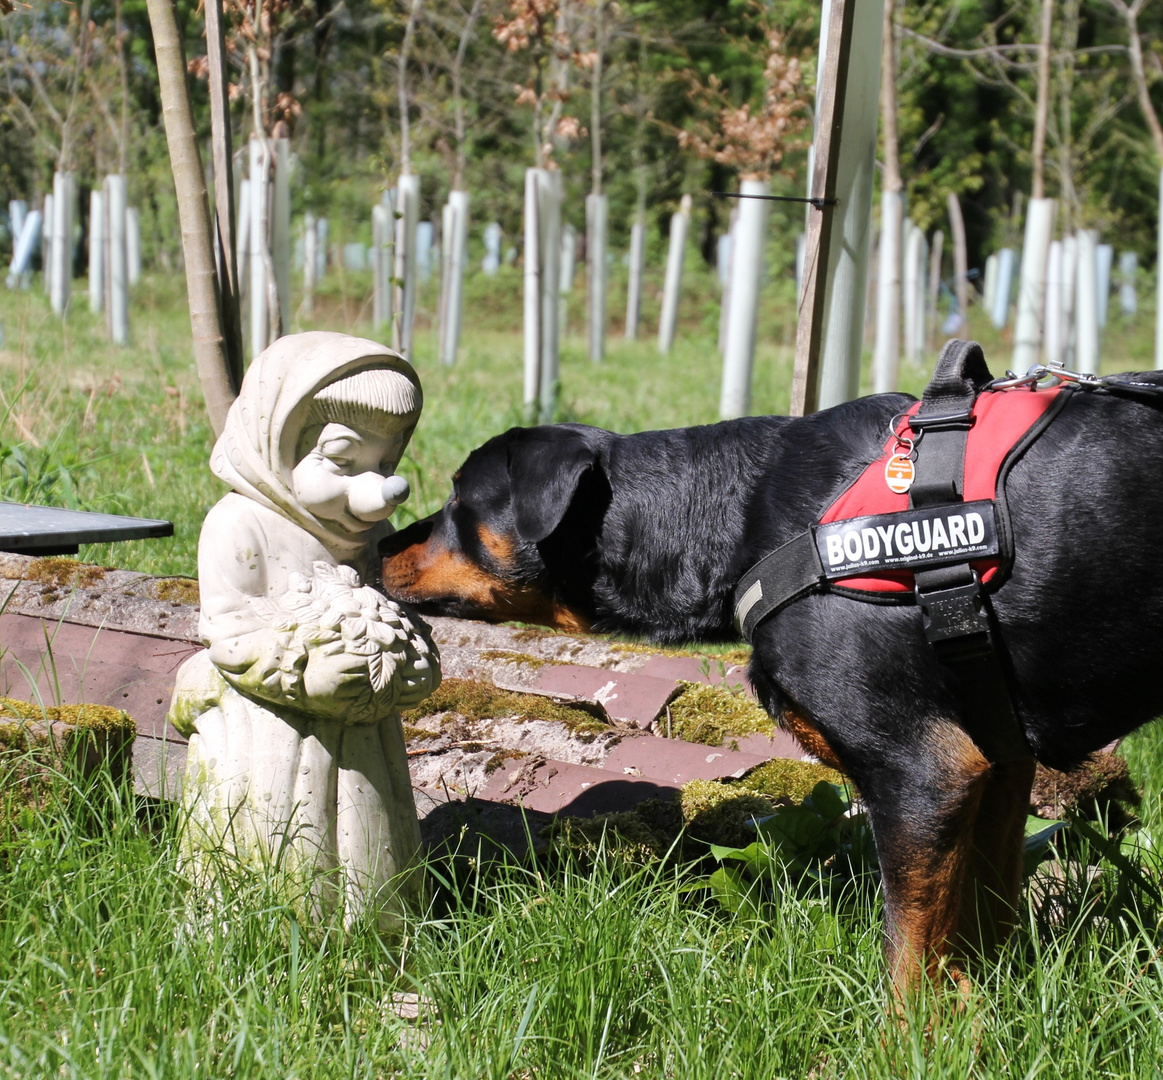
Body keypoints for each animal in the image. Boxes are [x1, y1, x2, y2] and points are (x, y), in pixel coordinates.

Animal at [379, 348, 1163, 990]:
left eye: (458, 498)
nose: (383, 542)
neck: (727, 520)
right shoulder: (999, 759)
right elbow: (980, 925)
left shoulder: (924, 772)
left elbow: (909, 962)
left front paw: (908, 1047)